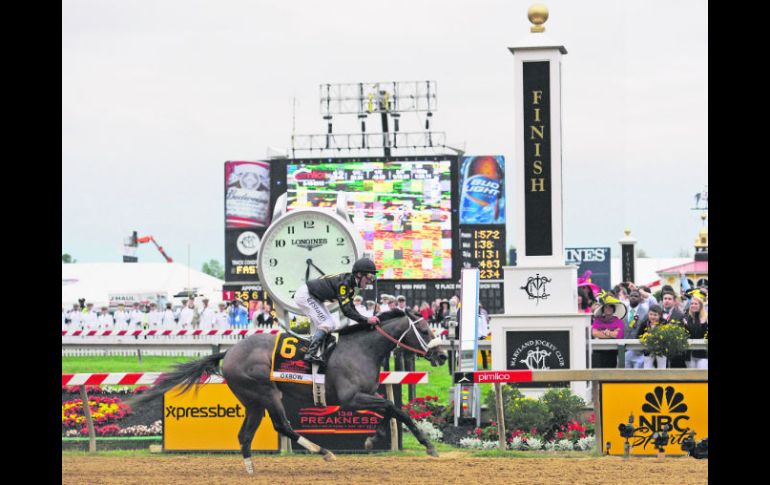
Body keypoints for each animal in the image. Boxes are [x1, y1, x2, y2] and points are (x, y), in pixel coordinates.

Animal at [130, 310, 444, 472]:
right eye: (425, 331)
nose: (441, 356)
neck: (361, 349)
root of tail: (229, 352)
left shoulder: (367, 394)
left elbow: (392, 410)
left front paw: (373, 438)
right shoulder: (350, 399)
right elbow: (394, 409)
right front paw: (427, 445)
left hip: (253, 401)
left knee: (245, 435)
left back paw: (251, 471)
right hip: (267, 393)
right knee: (283, 426)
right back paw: (324, 451)